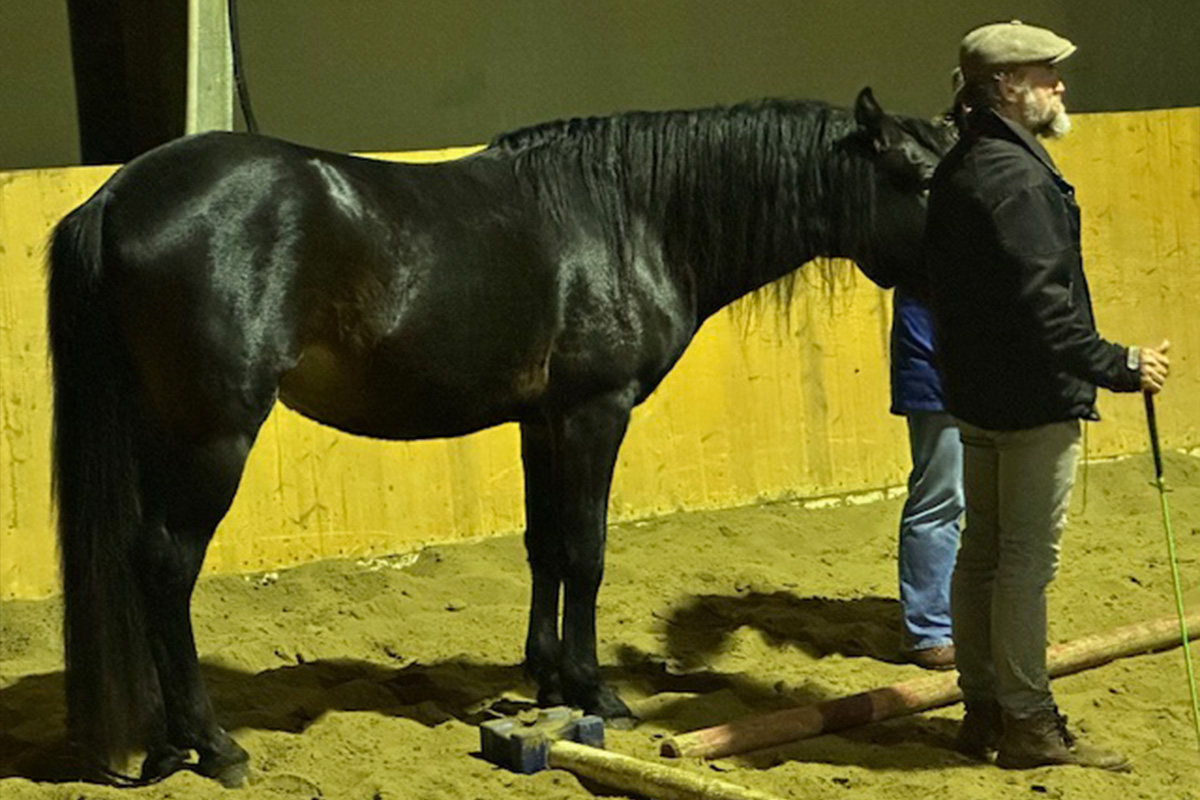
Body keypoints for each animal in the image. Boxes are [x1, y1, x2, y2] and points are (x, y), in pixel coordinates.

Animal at [47, 87, 954, 785]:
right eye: (917, 175)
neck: (631, 216)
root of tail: (116, 196)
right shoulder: (594, 412)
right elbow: (586, 550)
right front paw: (595, 690)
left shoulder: (543, 419)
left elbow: (544, 546)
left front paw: (547, 680)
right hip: (213, 436)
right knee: (167, 566)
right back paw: (213, 746)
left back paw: (168, 744)